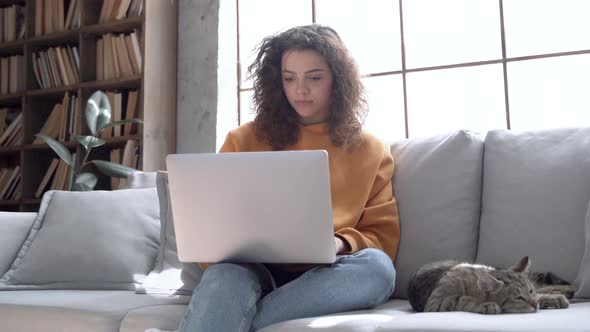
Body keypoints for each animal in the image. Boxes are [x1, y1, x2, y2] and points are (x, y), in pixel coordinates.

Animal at [410, 256, 572, 314]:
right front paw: (485, 305)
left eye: (530, 291)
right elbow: (461, 299)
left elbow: (540, 293)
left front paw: (552, 298)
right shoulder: (435, 302)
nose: (534, 305)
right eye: (518, 298)